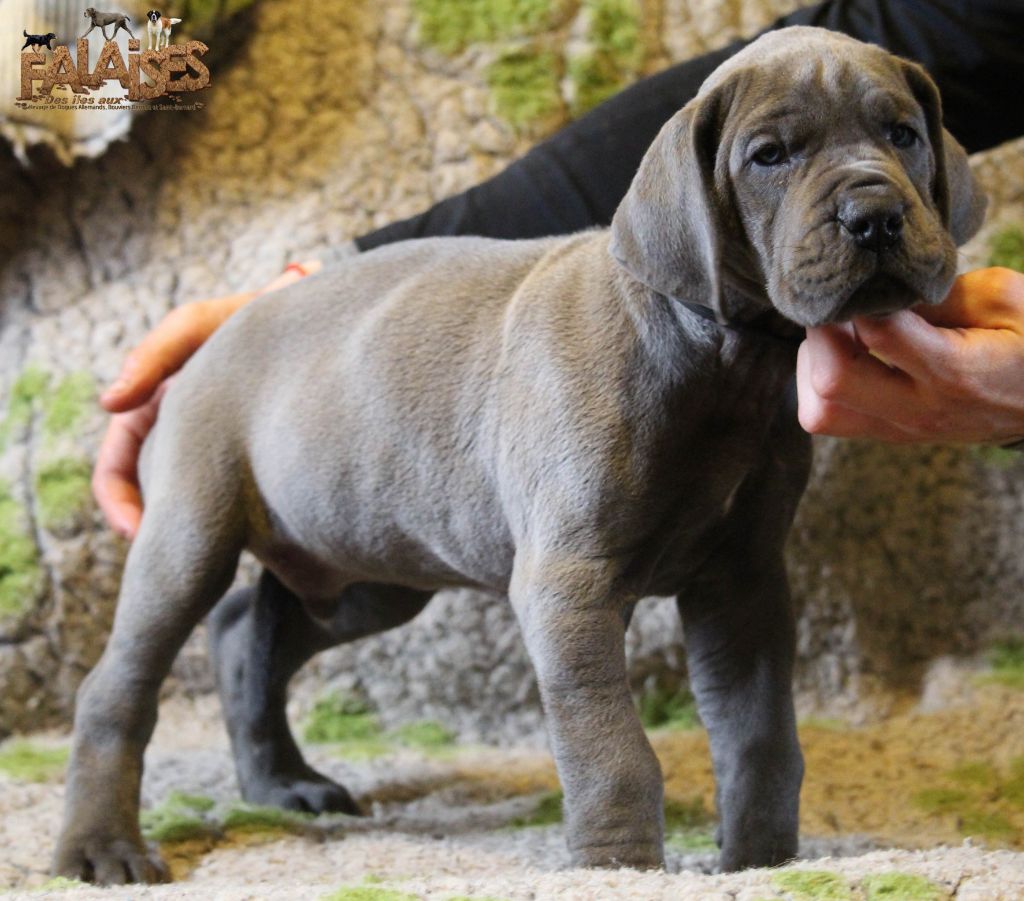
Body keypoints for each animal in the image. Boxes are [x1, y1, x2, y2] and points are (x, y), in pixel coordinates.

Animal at [54, 24, 983, 884]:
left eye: (902, 133)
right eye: (769, 156)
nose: (876, 217)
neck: (725, 362)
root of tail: (214, 336)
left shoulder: (743, 581)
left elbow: (760, 737)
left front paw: (761, 862)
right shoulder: (569, 584)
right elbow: (613, 750)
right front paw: (618, 869)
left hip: (368, 568)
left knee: (252, 627)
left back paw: (279, 782)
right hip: (192, 532)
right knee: (120, 685)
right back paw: (102, 845)